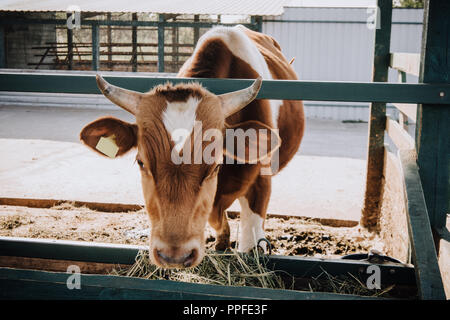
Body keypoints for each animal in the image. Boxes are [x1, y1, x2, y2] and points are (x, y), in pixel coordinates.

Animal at [81, 25, 306, 268]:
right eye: (141, 162)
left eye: (216, 166)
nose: (174, 256)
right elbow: (215, 217)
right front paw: (221, 242)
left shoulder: (260, 183)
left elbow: (249, 236)